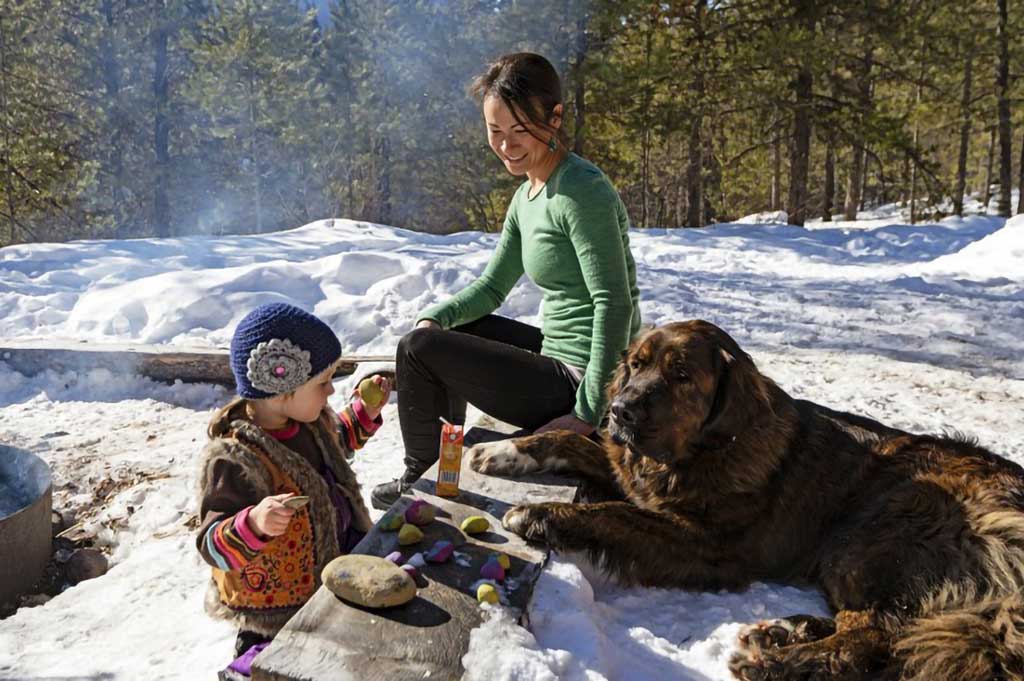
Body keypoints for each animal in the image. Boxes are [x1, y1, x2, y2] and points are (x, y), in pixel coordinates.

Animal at [468, 319, 1024, 679]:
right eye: (636, 366)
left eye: (681, 376)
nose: (620, 410)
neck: (709, 447)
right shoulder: (636, 471)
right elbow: (569, 441)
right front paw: (500, 451)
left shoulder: (705, 544)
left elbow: (616, 513)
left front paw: (540, 514)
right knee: (890, 625)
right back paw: (784, 630)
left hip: (864, 538)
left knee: (876, 637)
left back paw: (773, 661)